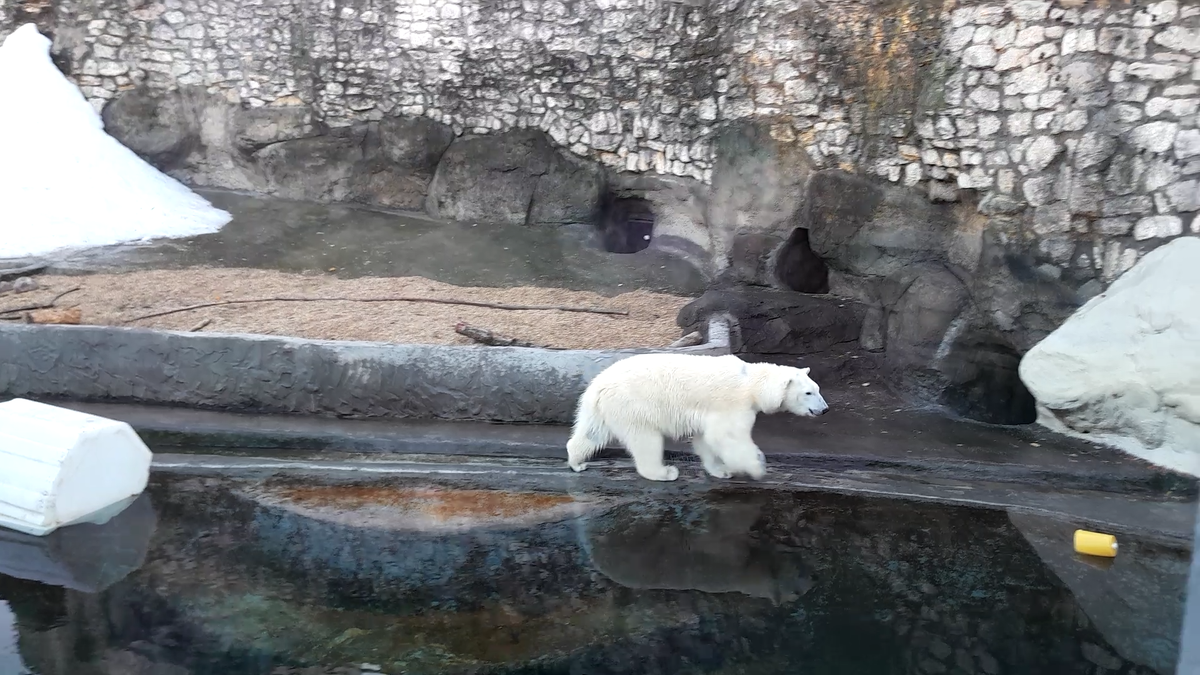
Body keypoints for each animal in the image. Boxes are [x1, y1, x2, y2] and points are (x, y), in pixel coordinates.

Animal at [561, 353, 825, 478]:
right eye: (808, 392)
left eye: (818, 388)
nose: (824, 409)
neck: (750, 382)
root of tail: (598, 385)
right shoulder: (732, 403)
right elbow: (727, 436)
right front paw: (757, 465)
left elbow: (706, 440)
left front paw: (721, 470)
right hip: (635, 405)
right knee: (646, 440)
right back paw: (664, 472)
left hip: (602, 407)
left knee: (592, 432)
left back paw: (577, 462)